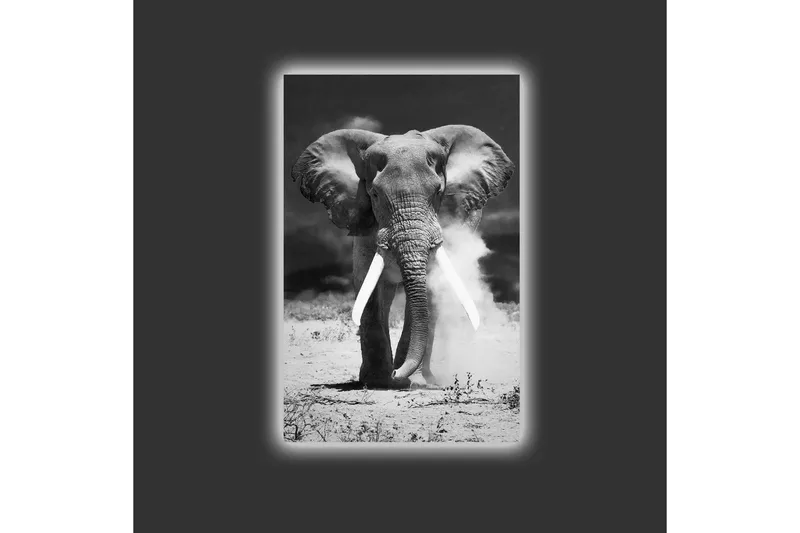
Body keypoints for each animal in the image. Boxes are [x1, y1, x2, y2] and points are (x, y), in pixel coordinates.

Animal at [290, 125, 515, 389]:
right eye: (375, 194)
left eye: (438, 192)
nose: (396, 374)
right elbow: (368, 284)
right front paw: (378, 381)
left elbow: (430, 287)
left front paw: (410, 380)